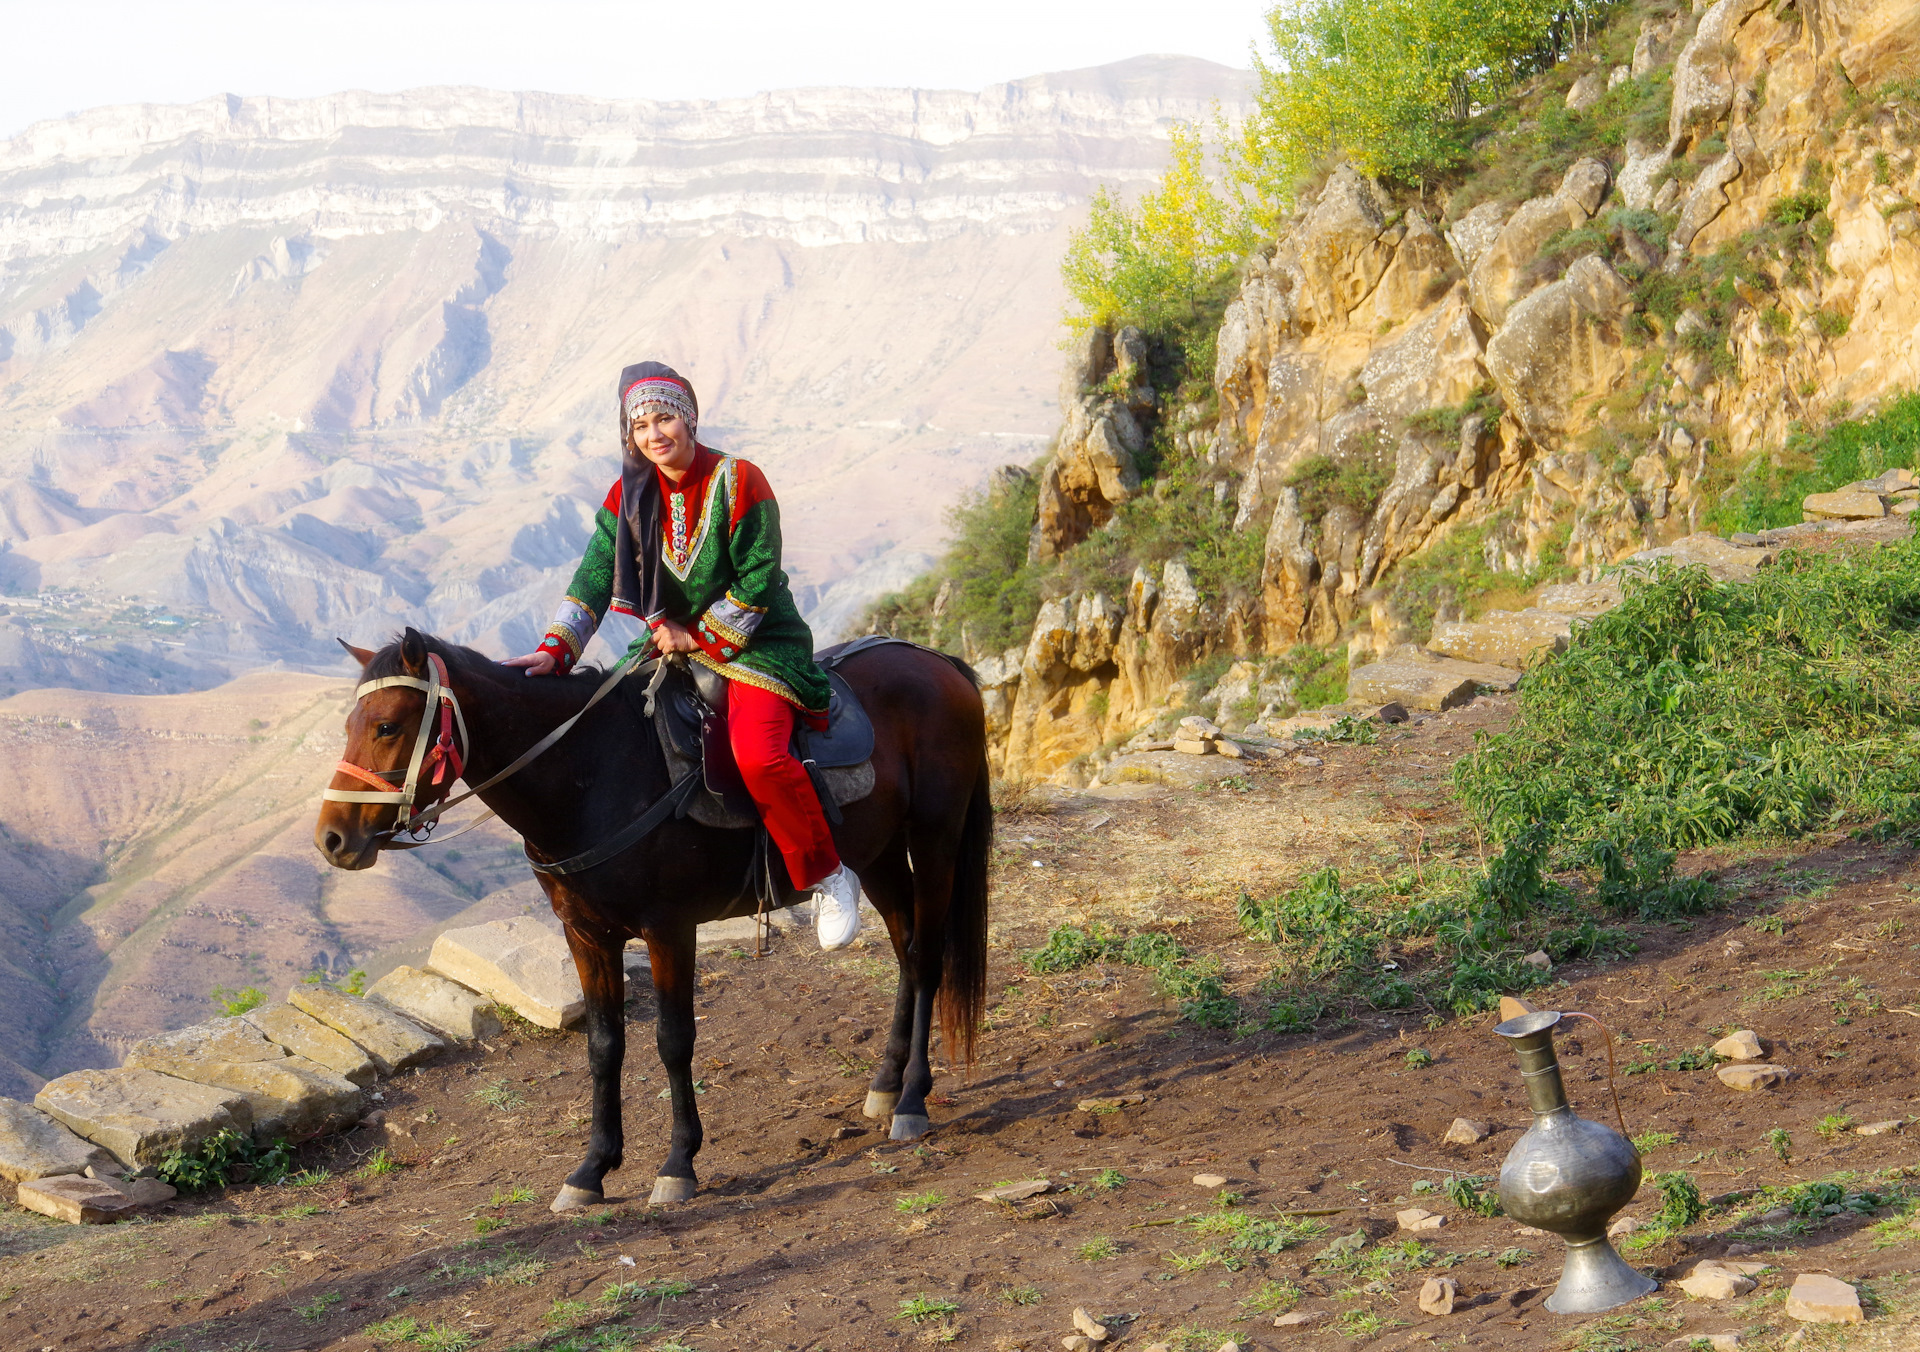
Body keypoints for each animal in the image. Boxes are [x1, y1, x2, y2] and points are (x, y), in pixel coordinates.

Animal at [312, 629, 990, 1206]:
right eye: (348, 726)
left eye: (388, 725)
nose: (332, 839)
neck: (591, 776)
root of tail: (939, 663)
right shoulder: (586, 936)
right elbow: (604, 1045)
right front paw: (592, 1168)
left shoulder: (669, 929)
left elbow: (672, 1040)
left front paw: (678, 1163)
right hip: (878, 855)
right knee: (906, 951)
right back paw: (885, 1084)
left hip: (935, 839)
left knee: (927, 956)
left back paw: (911, 1098)